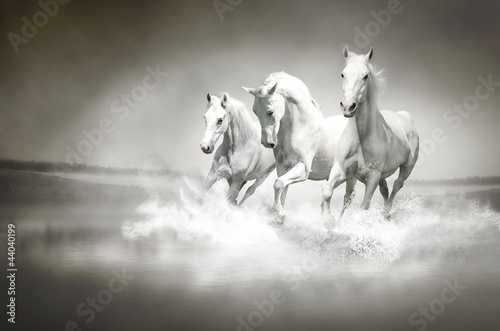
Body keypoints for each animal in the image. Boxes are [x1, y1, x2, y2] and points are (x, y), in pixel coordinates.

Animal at [244, 72, 350, 223]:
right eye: (254, 111)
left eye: (270, 111)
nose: (267, 142)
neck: (301, 128)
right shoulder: (283, 167)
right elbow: (282, 187)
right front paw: (280, 215)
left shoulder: (303, 168)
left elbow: (278, 184)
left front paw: (280, 214)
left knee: (349, 197)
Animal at [320, 46, 418, 228]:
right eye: (343, 74)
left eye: (365, 76)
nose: (348, 107)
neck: (361, 138)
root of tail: (405, 117)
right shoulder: (341, 170)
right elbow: (327, 191)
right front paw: (329, 221)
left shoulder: (372, 176)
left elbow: (364, 206)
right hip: (379, 176)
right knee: (383, 190)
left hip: (407, 167)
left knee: (397, 185)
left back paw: (386, 214)